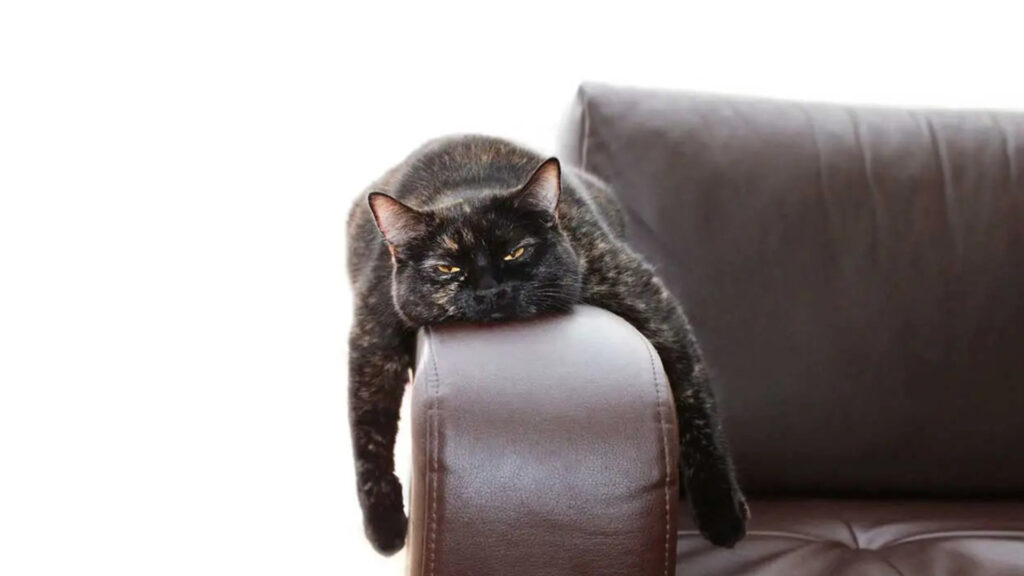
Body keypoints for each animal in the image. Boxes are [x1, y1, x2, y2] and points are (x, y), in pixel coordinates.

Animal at [348, 133, 749, 553]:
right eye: (447, 268)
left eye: (516, 251)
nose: (489, 290)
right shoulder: (373, 339)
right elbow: (369, 434)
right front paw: (385, 526)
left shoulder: (653, 308)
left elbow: (696, 406)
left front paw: (722, 513)